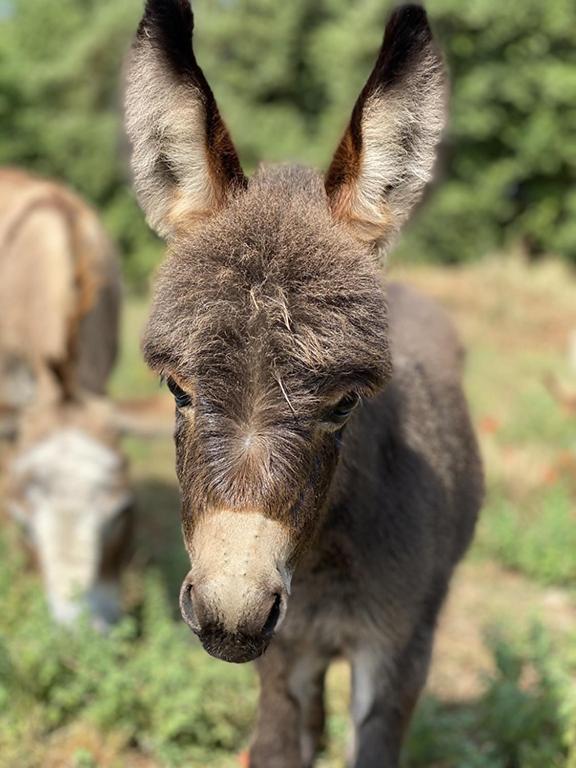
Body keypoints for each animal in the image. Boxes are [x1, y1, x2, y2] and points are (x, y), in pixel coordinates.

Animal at [125, 3, 482, 764]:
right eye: (177, 389)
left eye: (345, 403)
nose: (230, 615)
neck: (323, 555)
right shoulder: (284, 655)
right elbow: (282, 740)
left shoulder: (397, 653)